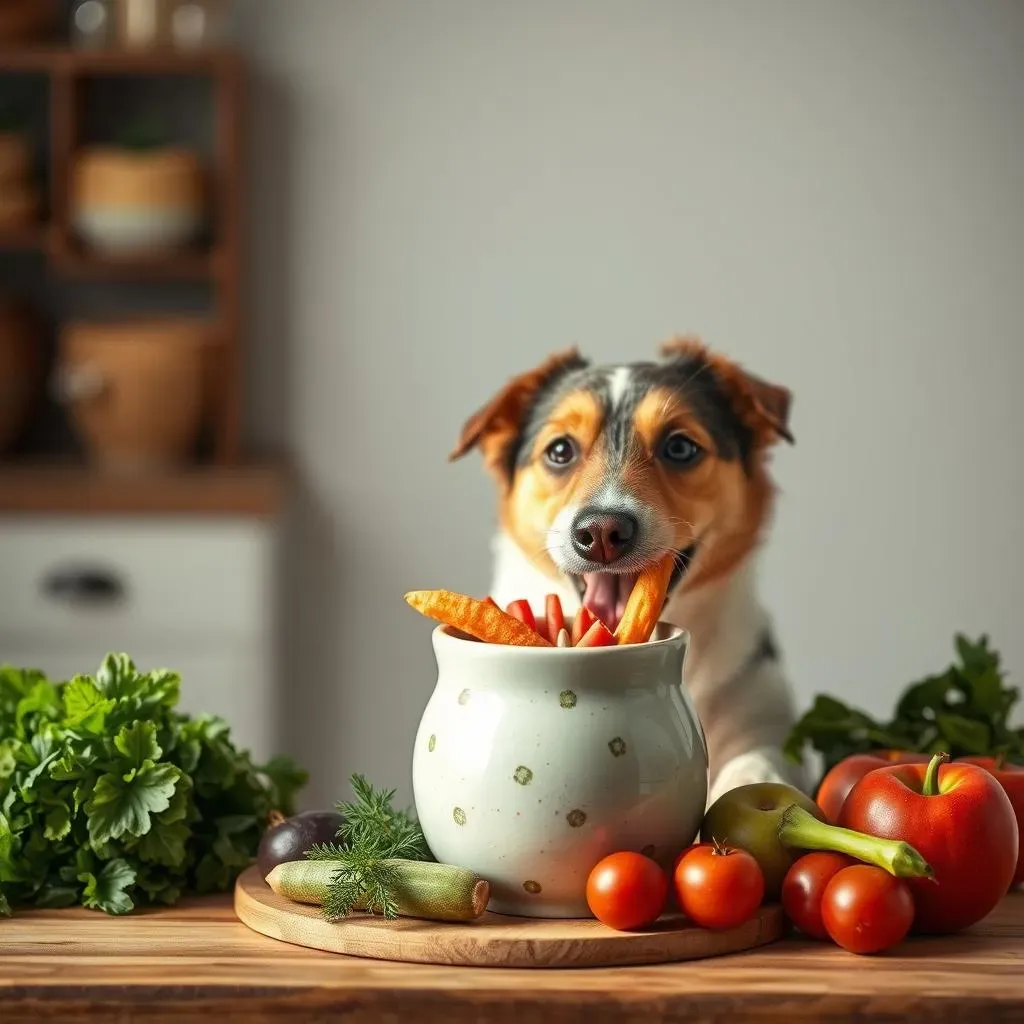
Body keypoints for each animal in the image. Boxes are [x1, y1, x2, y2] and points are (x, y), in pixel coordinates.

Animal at [448, 335, 806, 806]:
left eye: (680, 447)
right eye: (559, 450)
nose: (601, 531)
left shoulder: (765, 712)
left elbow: (760, 760)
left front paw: (749, 779)